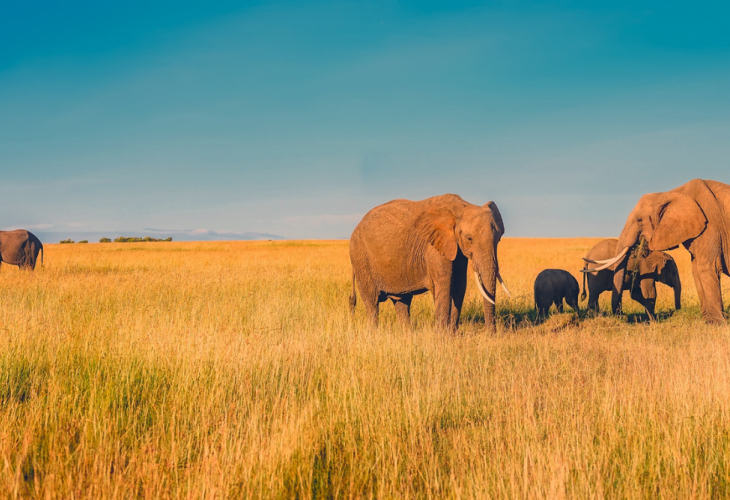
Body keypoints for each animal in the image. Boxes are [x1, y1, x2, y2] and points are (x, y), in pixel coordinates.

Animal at [348, 194, 510, 332]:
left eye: (498, 239)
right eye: (469, 238)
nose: (491, 334)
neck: (461, 206)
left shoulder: (456, 248)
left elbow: (459, 286)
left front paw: (452, 335)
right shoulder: (434, 248)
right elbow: (444, 286)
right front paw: (442, 337)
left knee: (402, 302)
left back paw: (407, 335)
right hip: (361, 257)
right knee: (372, 303)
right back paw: (373, 333)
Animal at [584, 180, 728, 324]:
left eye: (639, 220)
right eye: (673, 273)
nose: (677, 310)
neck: (671, 193)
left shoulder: (709, 227)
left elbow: (705, 268)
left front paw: (715, 323)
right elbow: (697, 270)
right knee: (594, 294)